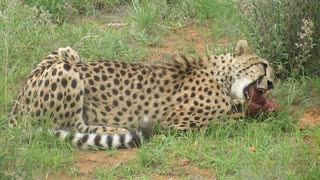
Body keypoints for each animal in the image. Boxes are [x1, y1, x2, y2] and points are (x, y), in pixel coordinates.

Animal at [8, 40, 274, 149]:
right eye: (264, 65)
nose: (271, 84)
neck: (222, 75)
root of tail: (15, 106)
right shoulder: (175, 123)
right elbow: (230, 121)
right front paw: (259, 120)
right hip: (67, 71)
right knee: (73, 126)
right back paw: (116, 130)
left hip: (68, 52)